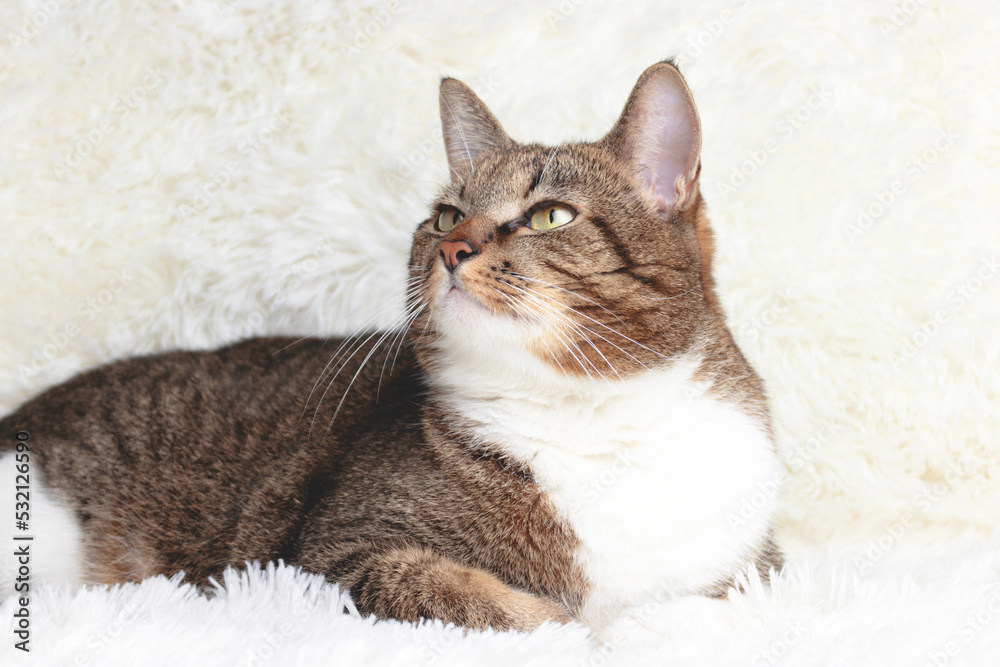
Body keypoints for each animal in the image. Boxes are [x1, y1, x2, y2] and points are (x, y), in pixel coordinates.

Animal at [0, 60, 780, 636]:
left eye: (549, 216)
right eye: (445, 214)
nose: (452, 247)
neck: (587, 417)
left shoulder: (752, 565)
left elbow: (707, 603)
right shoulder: (321, 555)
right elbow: (462, 591)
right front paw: (569, 626)